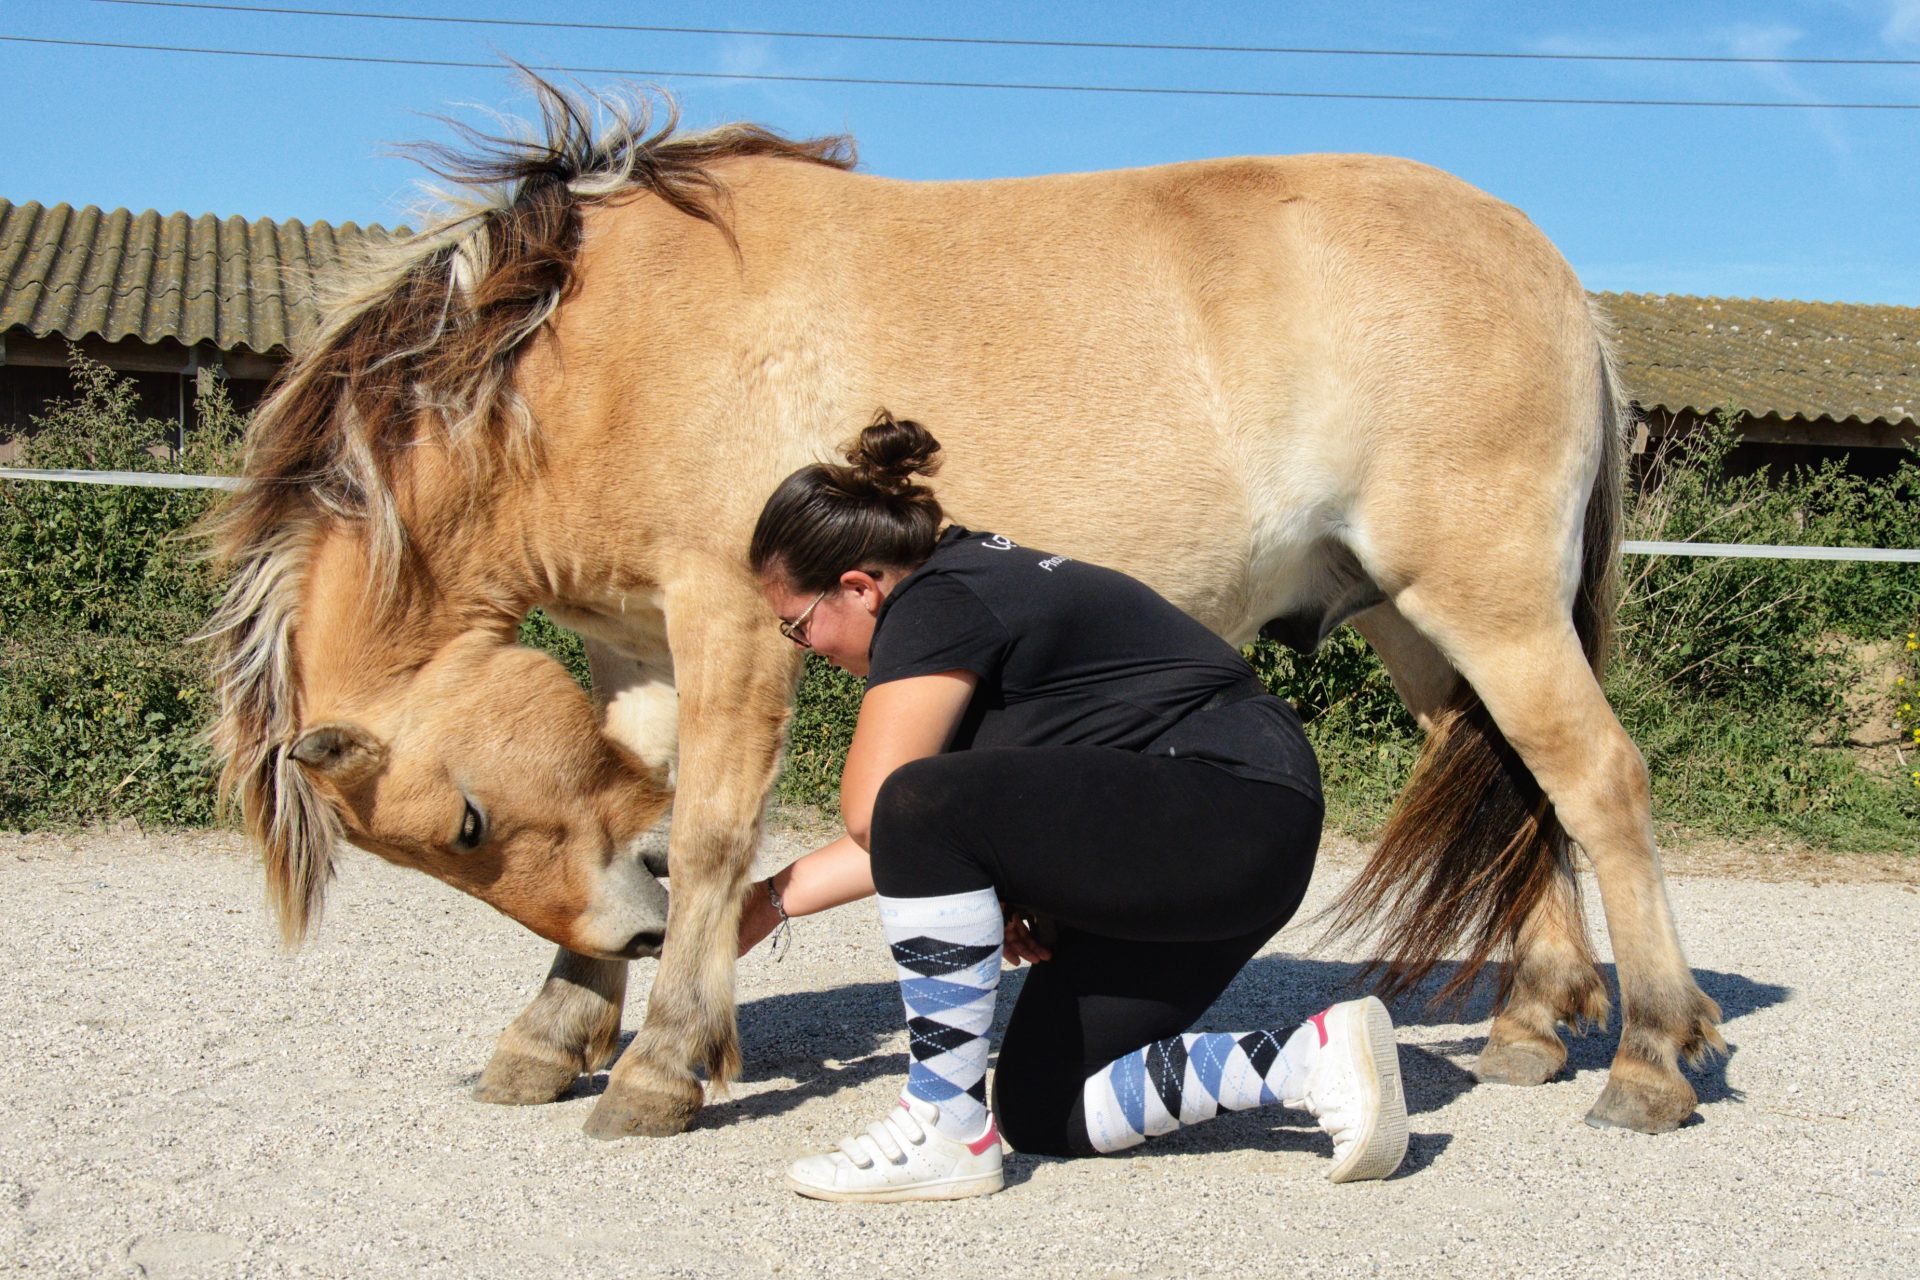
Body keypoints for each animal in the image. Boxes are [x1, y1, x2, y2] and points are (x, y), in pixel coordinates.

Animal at [206, 79, 1723, 1142]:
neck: (593, 343)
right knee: (1508, 776)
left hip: (1489, 602)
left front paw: (658, 1062)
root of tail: (1550, 270)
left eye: (463, 822)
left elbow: (706, 833)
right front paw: (561, 1030)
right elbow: (635, 804)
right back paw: (1535, 1025)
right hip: (1420, 620)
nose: (631, 946)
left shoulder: (730, 623)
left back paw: (1652, 1054)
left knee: (1595, 780)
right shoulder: (628, 637)